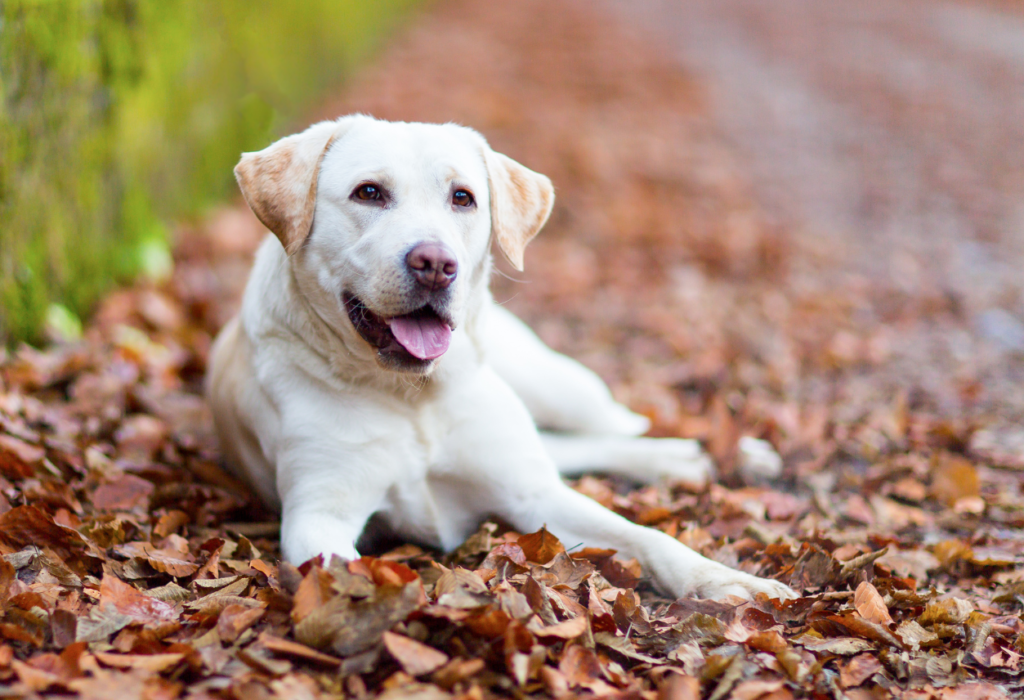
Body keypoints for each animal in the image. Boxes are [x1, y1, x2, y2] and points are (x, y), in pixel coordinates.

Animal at [207, 114, 794, 601]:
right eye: (368, 192)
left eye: (463, 198)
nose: (435, 263)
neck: (413, 397)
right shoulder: (319, 515)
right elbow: (350, 569)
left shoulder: (534, 496)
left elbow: (646, 535)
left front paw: (726, 580)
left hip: (557, 386)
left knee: (620, 424)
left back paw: (721, 451)